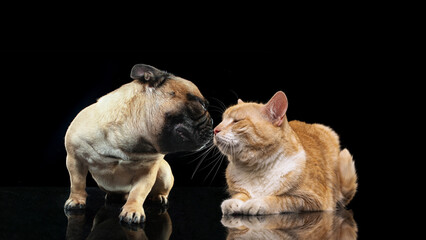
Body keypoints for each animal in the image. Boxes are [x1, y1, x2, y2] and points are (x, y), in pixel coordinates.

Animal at [63, 63, 213, 223]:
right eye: (201, 105)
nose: (213, 121)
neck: (125, 137)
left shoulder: (147, 171)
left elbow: (138, 192)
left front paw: (132, 210)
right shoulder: (74, 159)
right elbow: (77, 182)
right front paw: (76, 200)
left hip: (164, 172)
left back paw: (159, 197)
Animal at [213, 91, 356, 215]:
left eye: (236, 121)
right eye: (222, 119)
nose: (215, 129)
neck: (256, 168)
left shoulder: (312, 200)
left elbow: (281, 200)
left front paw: (257, 202)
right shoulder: (238, 190)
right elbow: (241, 194)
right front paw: (233, 202)